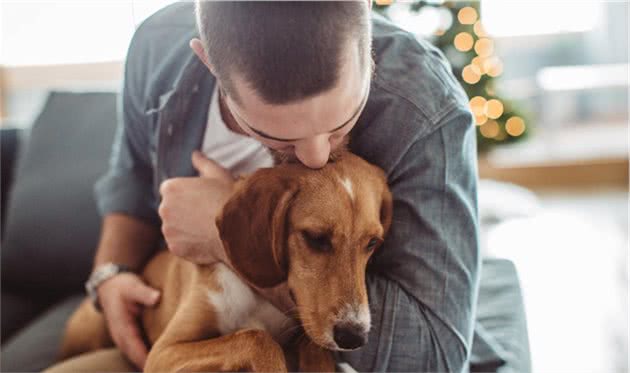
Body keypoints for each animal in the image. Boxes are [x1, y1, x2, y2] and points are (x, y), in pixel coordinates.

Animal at [60, 150, 396, 370]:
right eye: (315, 238)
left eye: (372, 243)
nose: (354, 337)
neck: (257, 297)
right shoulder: (163, 353)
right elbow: (257, 339)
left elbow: (311, 347)